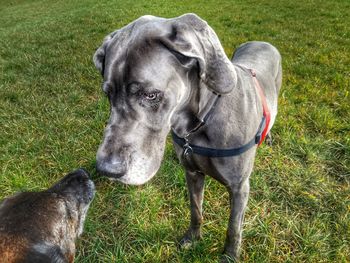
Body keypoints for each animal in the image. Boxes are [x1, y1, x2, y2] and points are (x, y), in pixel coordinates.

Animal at [93, 13, 282, 262]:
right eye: (108, 94)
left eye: (151, 95)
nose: (106, 169)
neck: (199, 125)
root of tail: (263, 42)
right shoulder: (192, 173)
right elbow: (195, 210)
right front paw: (193, 238)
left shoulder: (239, 187)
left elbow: (234, 228)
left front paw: (230, 256)